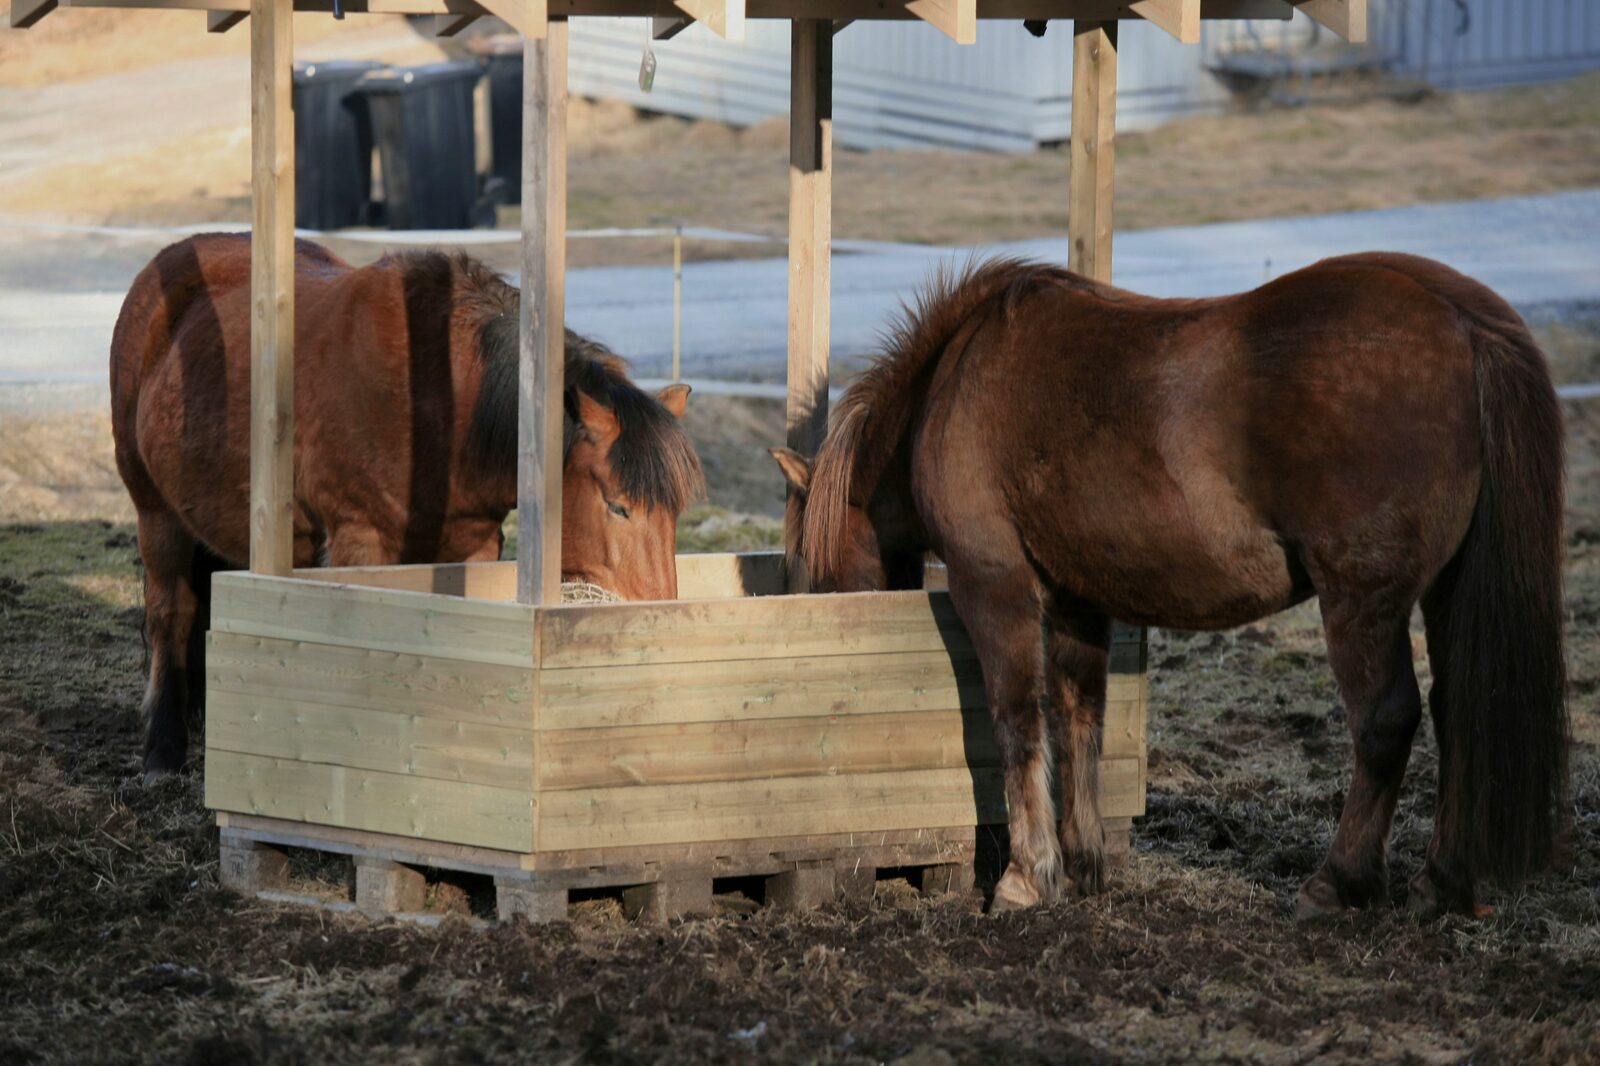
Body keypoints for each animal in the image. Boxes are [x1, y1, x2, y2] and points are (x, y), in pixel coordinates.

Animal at [112, 233, 704, 777]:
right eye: (618, 506)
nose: (665, 617)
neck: (441, 402)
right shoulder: (358, 543)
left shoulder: (474, 547)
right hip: (156, 514)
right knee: (170, 612)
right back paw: (163, 749)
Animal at [770, 254, 1568, 919]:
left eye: (812, 575)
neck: (954, 382)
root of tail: (1462, 323)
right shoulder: (1079, 600)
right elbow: (1079, 718)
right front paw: (1084, 862)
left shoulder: (994, 586)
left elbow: (1019, 719)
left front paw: (1028, 876)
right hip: (1445, 593)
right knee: (1459, 711)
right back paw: (1441, 884)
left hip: (1361, 602)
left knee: (1385, 721)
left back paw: (1337, 882)